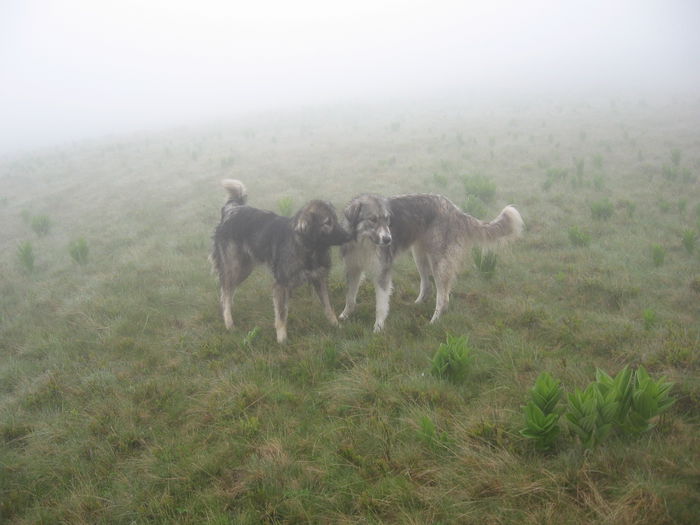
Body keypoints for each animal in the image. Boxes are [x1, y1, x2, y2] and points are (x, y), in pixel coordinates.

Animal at [209, 180, 348, 344]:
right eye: (327, 223)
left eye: (336, 219)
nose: (348, 235)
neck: (307, 248)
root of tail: (231, 209)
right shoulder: (280, 285)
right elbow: (281, 315)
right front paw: (282, 339)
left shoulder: (319, 279)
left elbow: (328, 306)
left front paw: (336, 325)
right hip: (235, 268)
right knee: (225, 292)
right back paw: (229, 323)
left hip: (244, 269)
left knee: (228, 292)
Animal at [342, 192, 524, 332]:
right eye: (372, 219)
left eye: (387, 220)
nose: (388, 240)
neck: (364, 242)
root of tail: (455, 209)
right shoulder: (353, 269)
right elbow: (350, 297)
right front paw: (344, 316)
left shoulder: (382, 273)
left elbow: (380, 305)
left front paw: (378, 328)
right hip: (420, 256)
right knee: (428, 286)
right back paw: (417, 305)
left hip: (439, 263)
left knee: (443, 298)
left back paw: (434, 321)